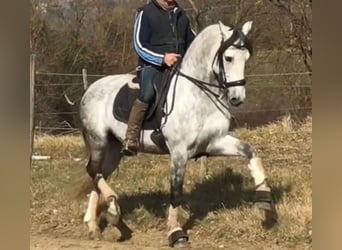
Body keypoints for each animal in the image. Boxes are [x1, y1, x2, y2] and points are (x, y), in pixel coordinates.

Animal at [79, 20, 276, 247]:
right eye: (228, 58)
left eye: (246, 58)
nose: (237, 98)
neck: (199, 95)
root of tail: (90, 89)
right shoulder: (179, 152)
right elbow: (176, 192)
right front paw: (176, 233)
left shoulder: (215, 142)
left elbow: (250, 151)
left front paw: (264, 197)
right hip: (98, 140)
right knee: (94, 170)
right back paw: (111, 208)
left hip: (113, 148)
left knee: (99, 174)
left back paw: (95, 225)